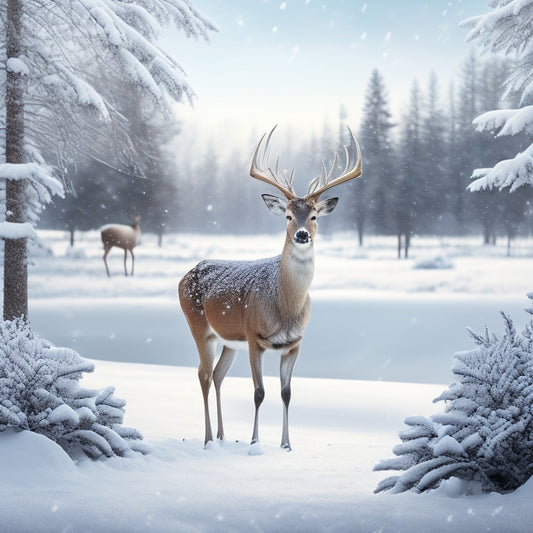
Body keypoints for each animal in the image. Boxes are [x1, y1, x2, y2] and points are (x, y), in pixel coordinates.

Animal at [179, 125, 362, 454]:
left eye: (314, 216)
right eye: (288, 216)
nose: (302, 234)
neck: (286, 307)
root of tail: (185, 275)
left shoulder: (294, 343)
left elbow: (286, 393)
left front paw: (286, 444)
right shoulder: (255, 336)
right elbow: (259, 392)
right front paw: (255, 443)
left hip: (227, 340)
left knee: (218, 375)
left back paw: (223, 435)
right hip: (199, 326)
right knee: (203, 374)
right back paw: (209, 439)